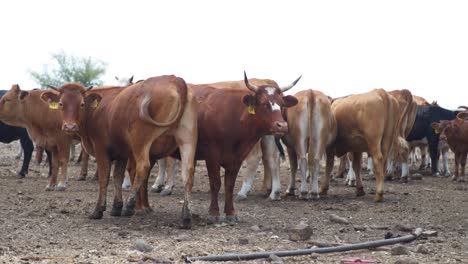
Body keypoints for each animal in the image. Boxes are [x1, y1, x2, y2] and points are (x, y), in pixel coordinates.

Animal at [41, 75, 198, 228]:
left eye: (82, 104)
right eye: (61, 104)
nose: (70, 127)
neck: (97, 110)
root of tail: (175, 80)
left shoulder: (102, 152)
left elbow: (104, 179)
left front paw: (99, 210)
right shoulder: (122, 154)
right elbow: (117, 177)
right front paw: (116, 207)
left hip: (141, 142)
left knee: (143, 167)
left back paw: (129, 205)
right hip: (186, 141)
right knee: (188, 173)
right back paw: (186, 217)